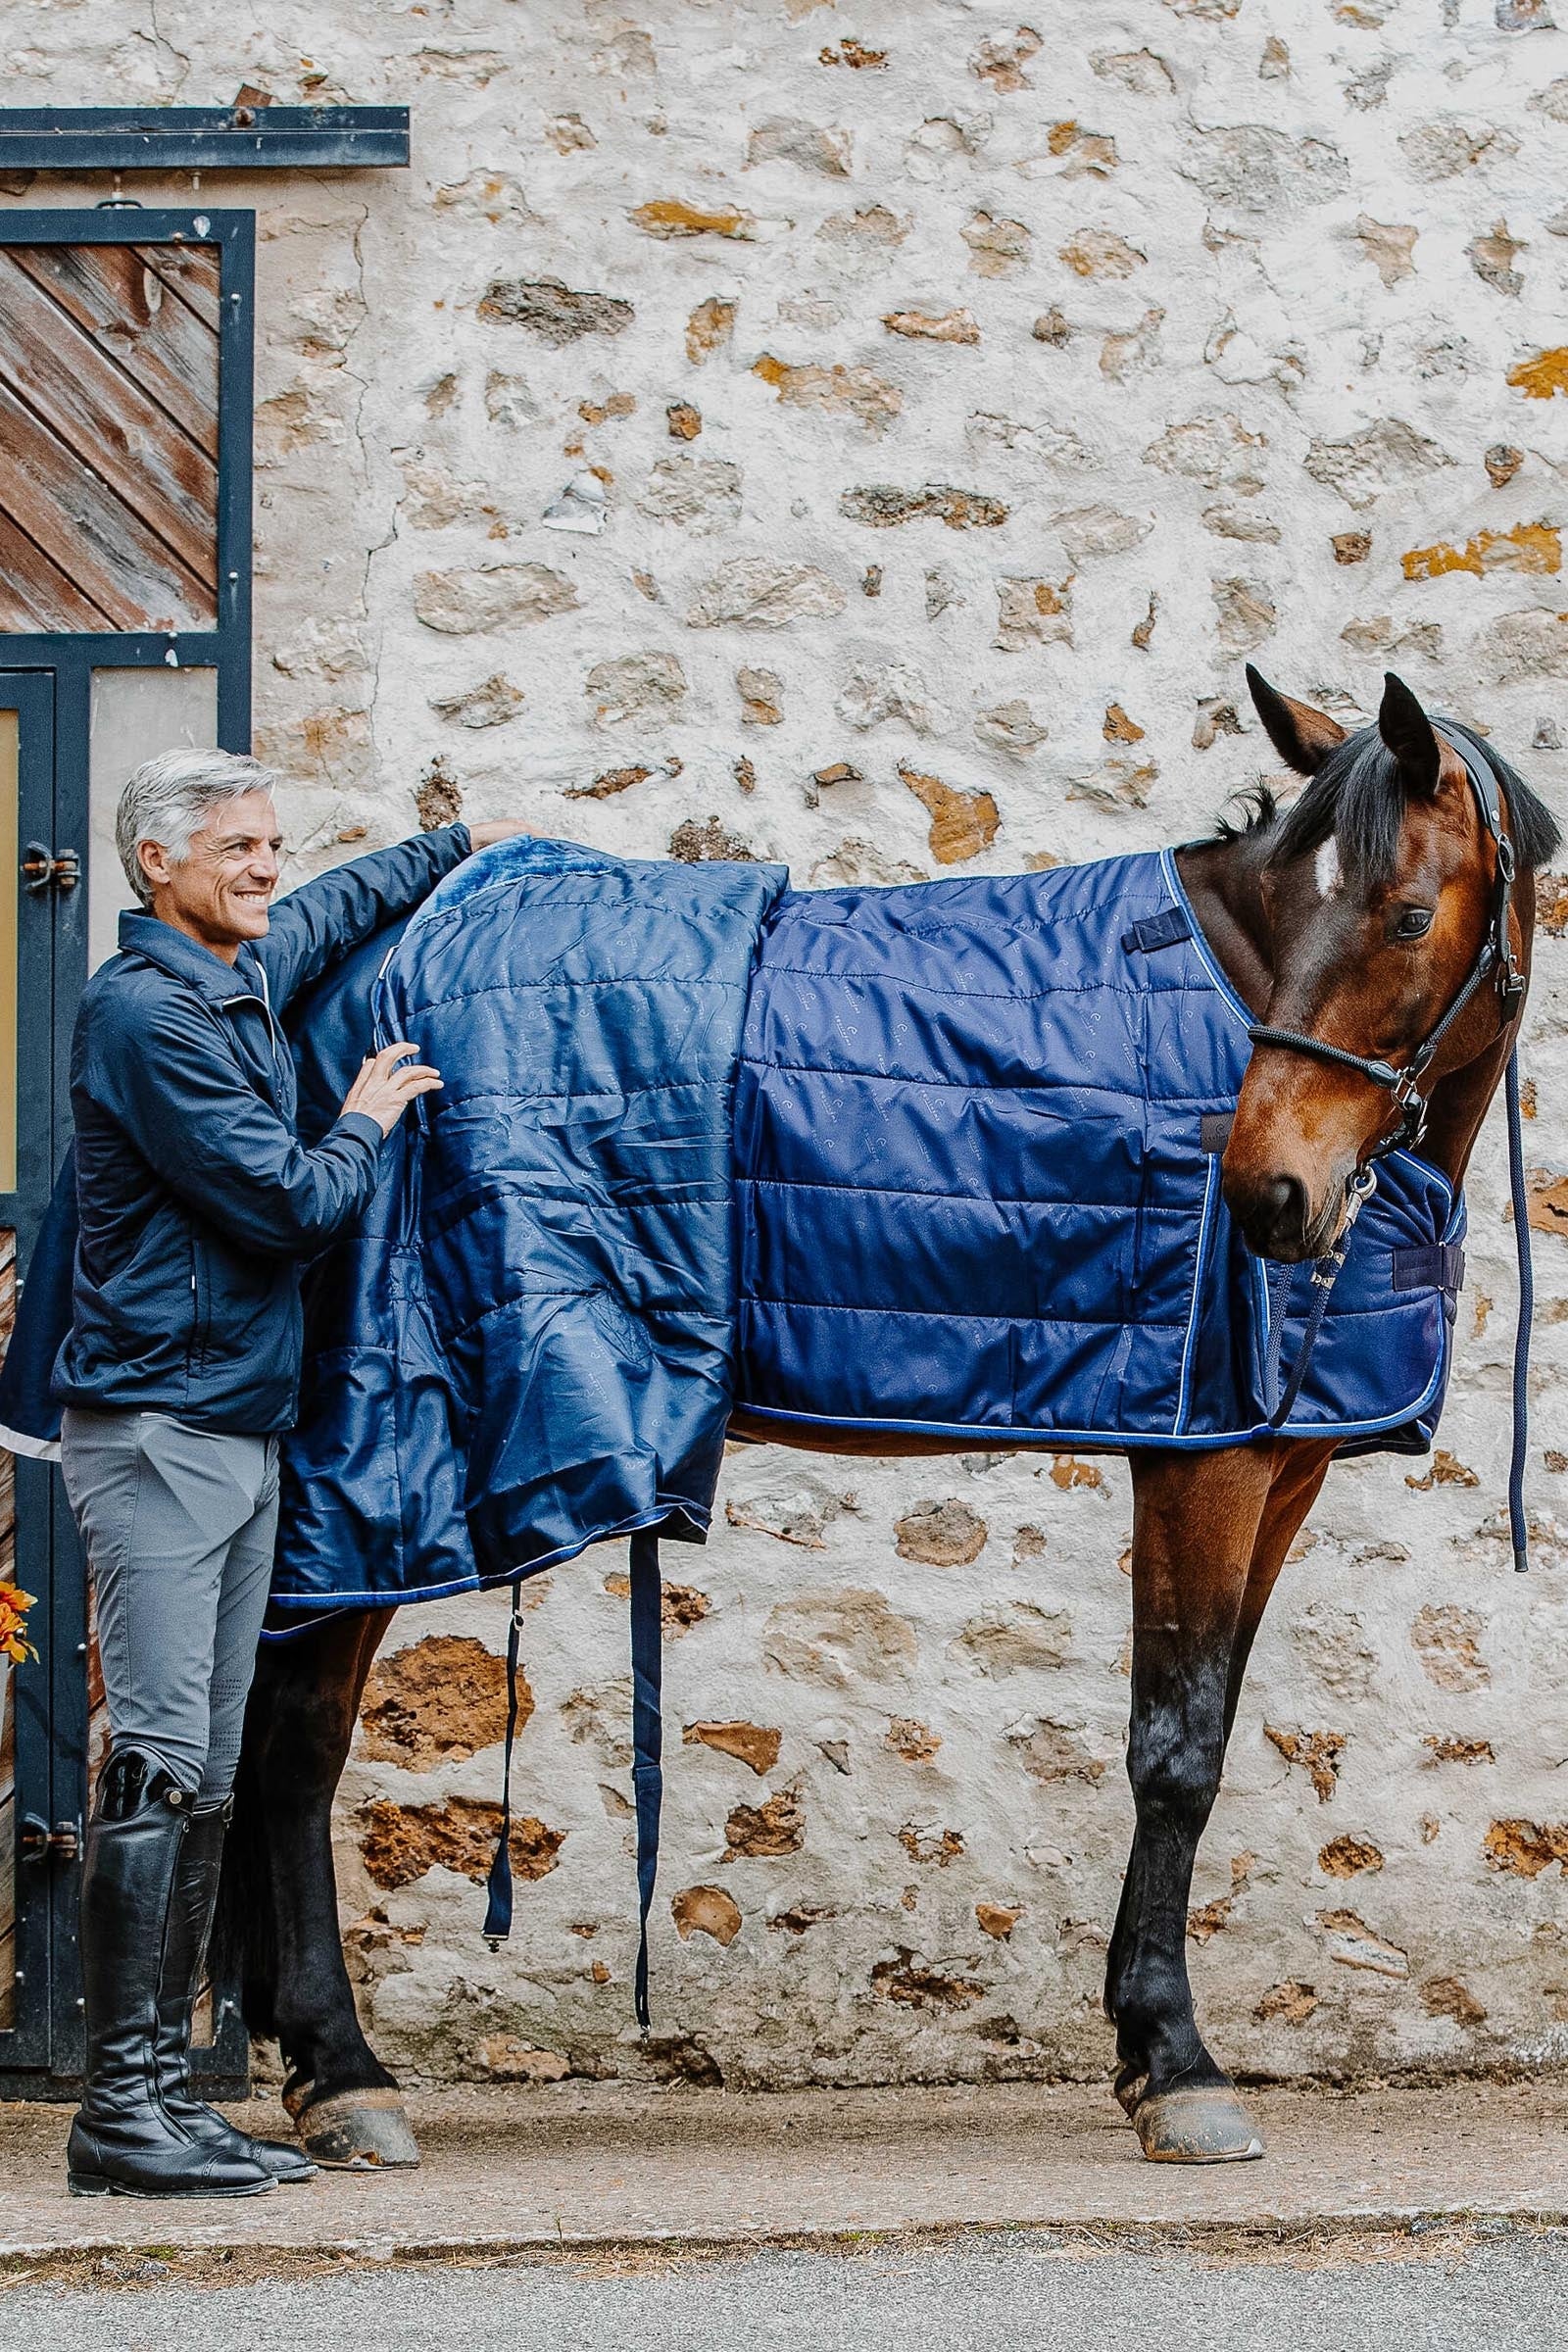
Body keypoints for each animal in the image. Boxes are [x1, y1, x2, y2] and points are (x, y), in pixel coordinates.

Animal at [217, 667, 1558, 2172]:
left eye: (1404, 914)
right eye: (1297, 903)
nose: (1266, 1193)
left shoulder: (1276, 1473)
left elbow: (1201, 1730)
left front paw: (1142, 2044)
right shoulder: (1202, 1460)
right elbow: (1177, 1753)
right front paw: (1176, 2061)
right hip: (369, 1479)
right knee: (293, 1743)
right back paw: (343, 2072)